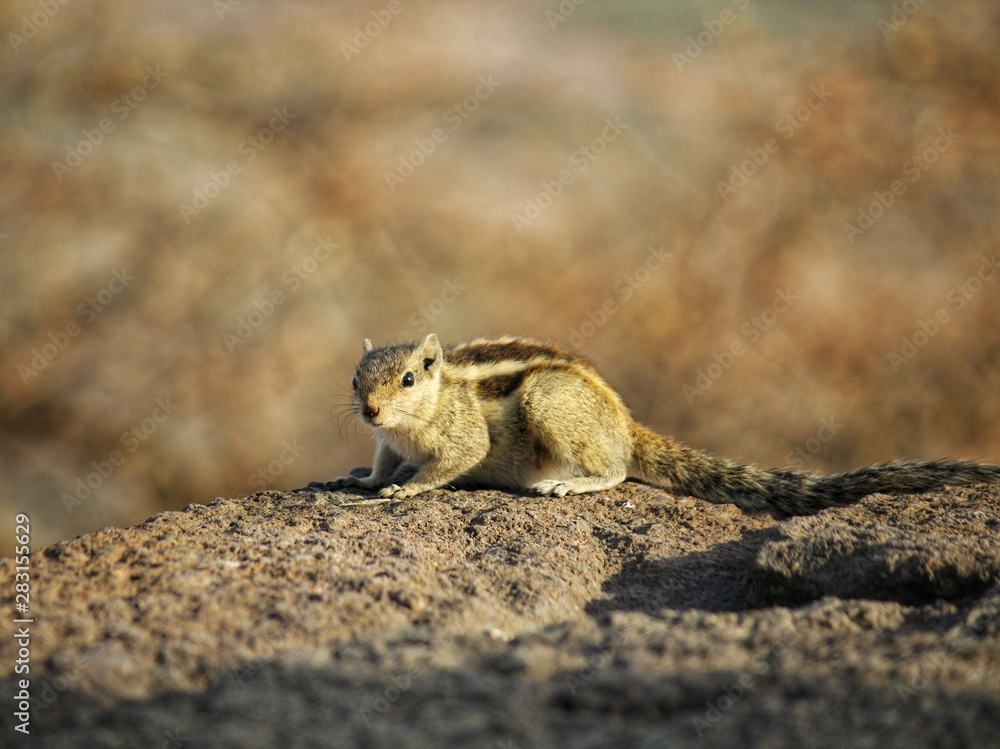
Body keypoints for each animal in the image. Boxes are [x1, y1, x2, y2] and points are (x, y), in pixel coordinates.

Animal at [317, 334, 1000, 515]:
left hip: (546, 404)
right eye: (353, 381)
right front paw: (358, 481)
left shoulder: (460, 438)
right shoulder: (385, 441)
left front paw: (406, 490)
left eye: (409, 379)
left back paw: (569, 483)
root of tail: (626, 423)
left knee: (617, 471)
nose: (370, 411)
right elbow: (378, 462)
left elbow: (450, 464)